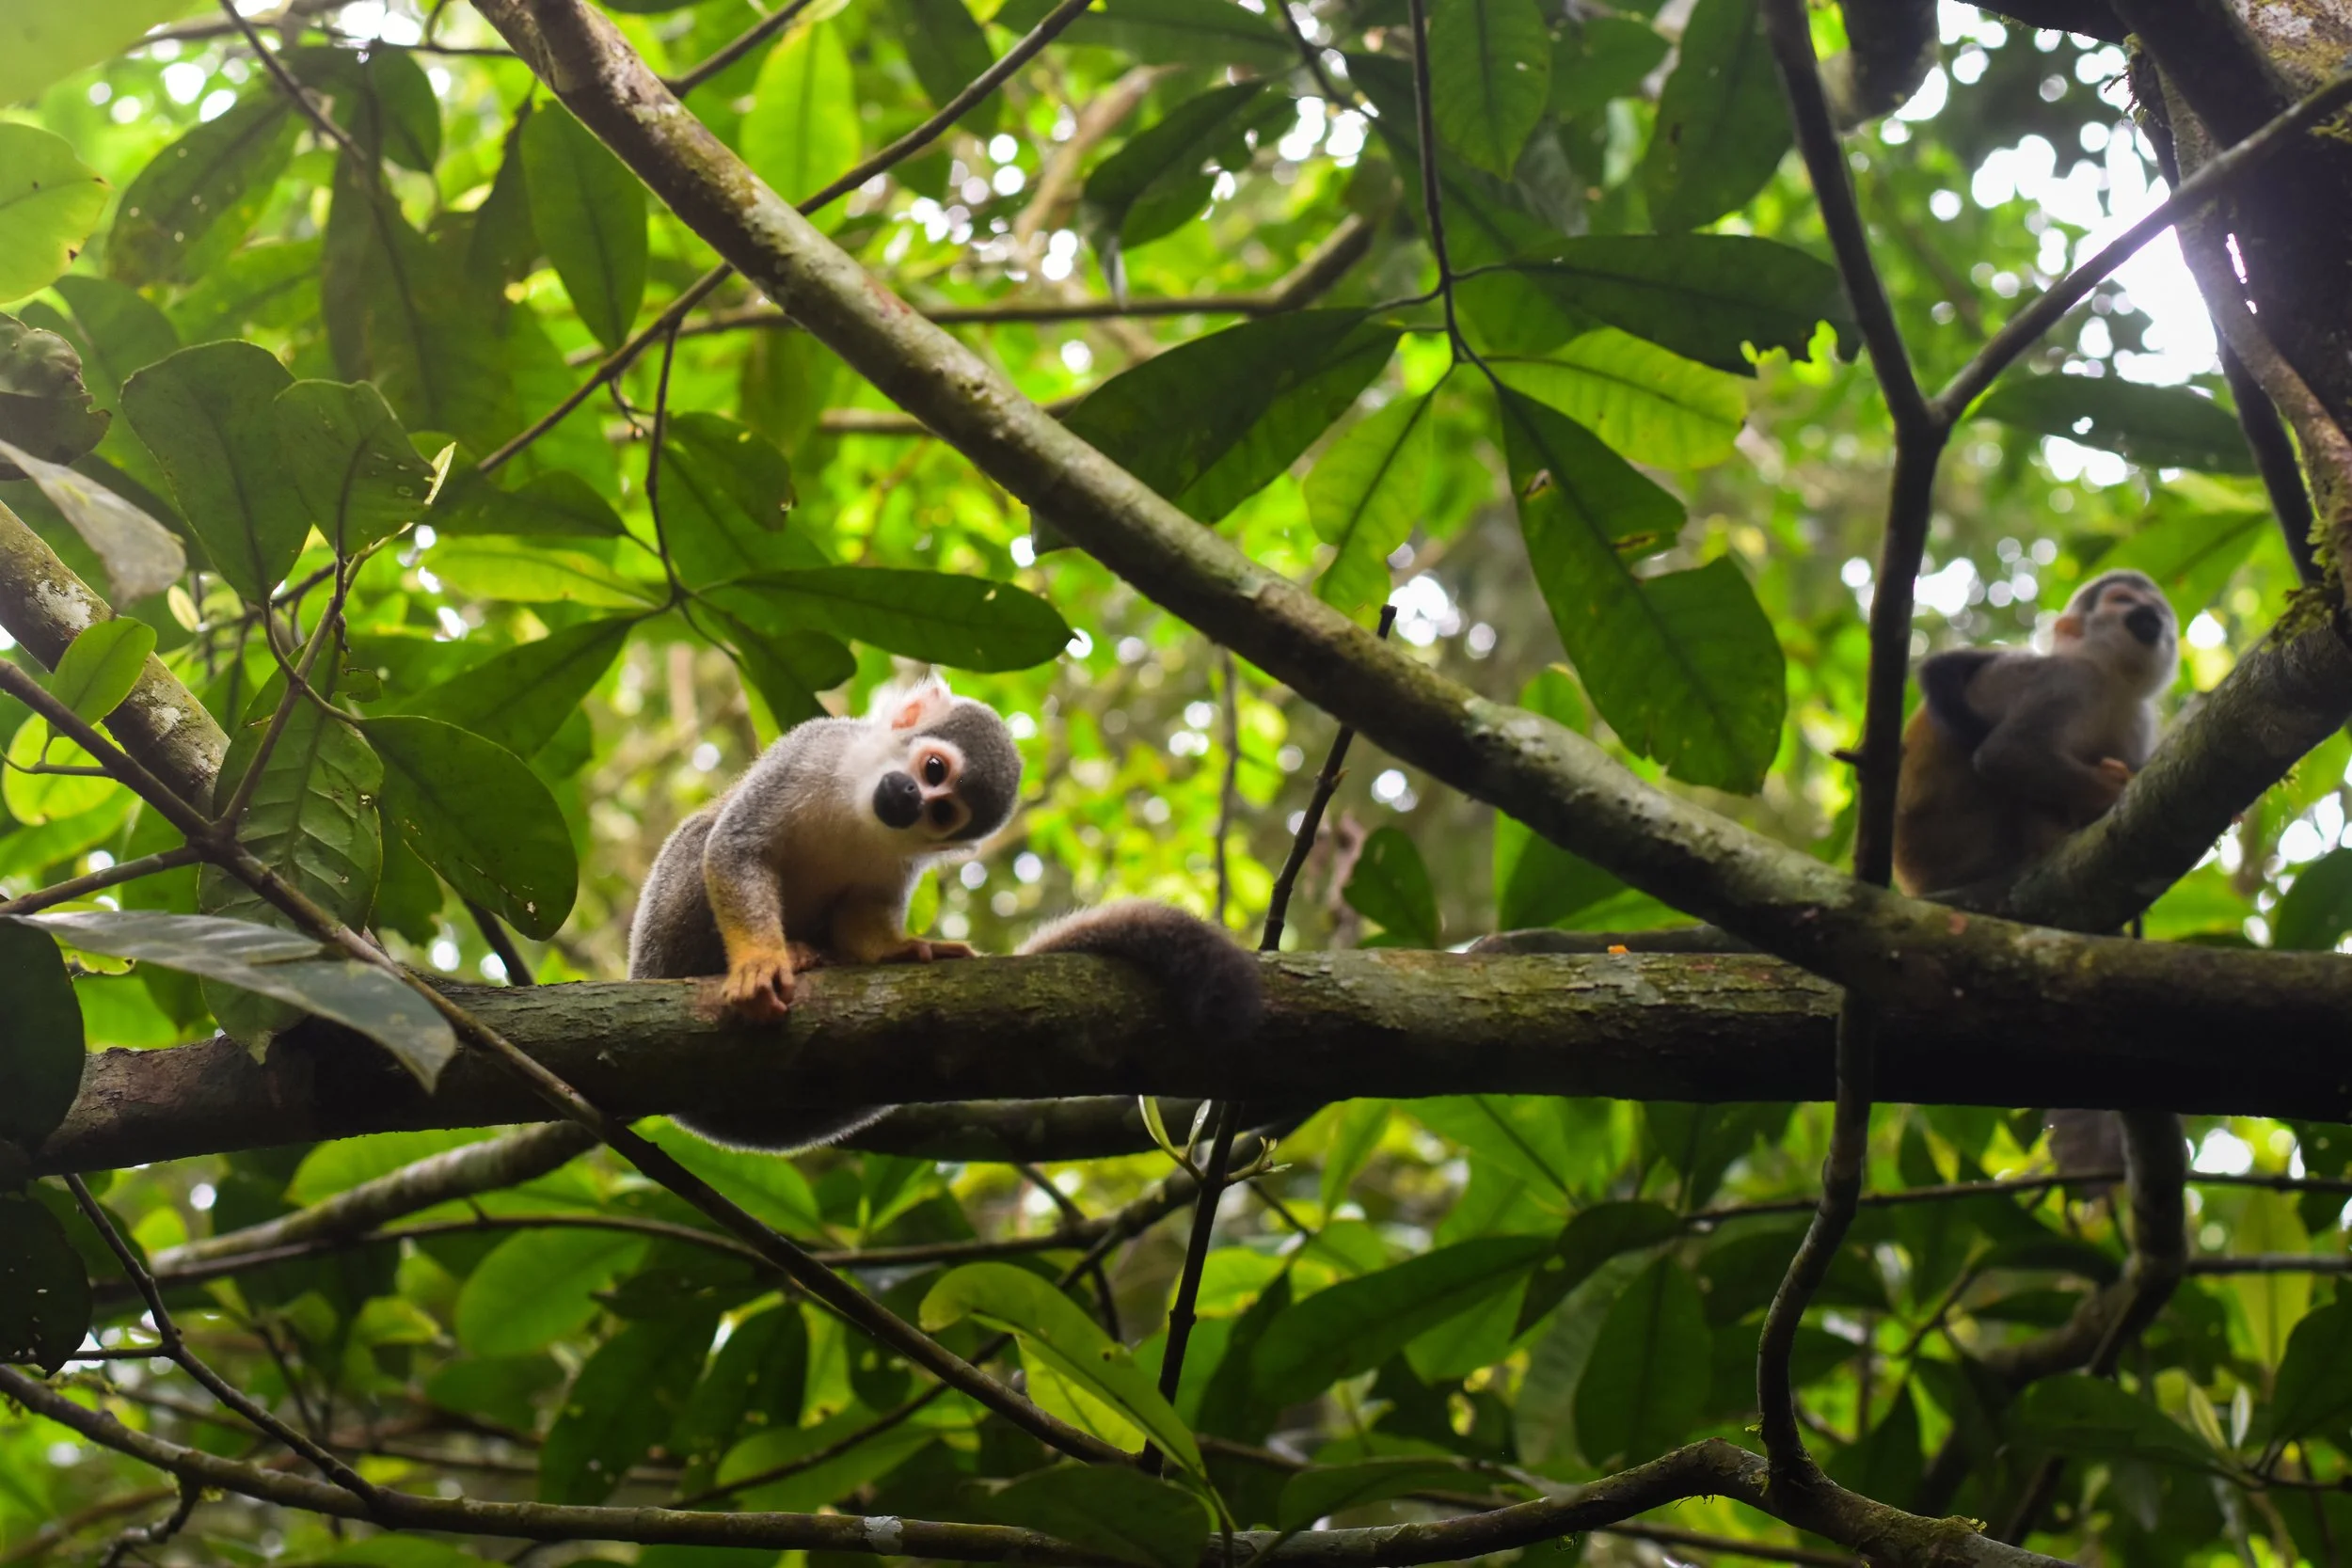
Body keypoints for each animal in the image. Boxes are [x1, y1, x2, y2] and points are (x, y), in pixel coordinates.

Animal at [627, 673, 1264, 1152]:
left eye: (942, 813)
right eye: (933, 770)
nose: (910, 799)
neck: (854, 801)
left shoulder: (901, 855)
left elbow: (865, 911)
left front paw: (898, 950)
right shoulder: (808, 751)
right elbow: (736, 849)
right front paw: (759, 963)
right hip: (661, 940)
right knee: (700, 839)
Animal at [1891, 568, 2179, 1186]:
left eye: (2157, 608)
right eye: (2123, 601)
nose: (2148, 617)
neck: (2112, 681)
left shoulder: (2138, 718)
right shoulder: (2065, 682)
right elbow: (2006, 756)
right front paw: (2106, 793)